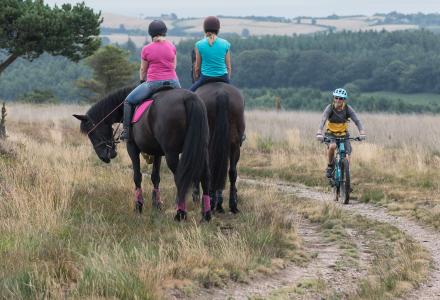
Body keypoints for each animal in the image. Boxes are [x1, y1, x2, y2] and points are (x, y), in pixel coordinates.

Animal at [74, 85, 211, 221]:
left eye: (92, 134)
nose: (103, 157)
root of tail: (189, 98)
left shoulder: (132, 148)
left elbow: (137, 176)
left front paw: (138, 206)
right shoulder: (157, 152)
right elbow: (155, 177)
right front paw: (157, 205)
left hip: (171, 154)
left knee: (181, 177)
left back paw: (180, 213)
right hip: (200, 151)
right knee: (204, 176)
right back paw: (206, 214)